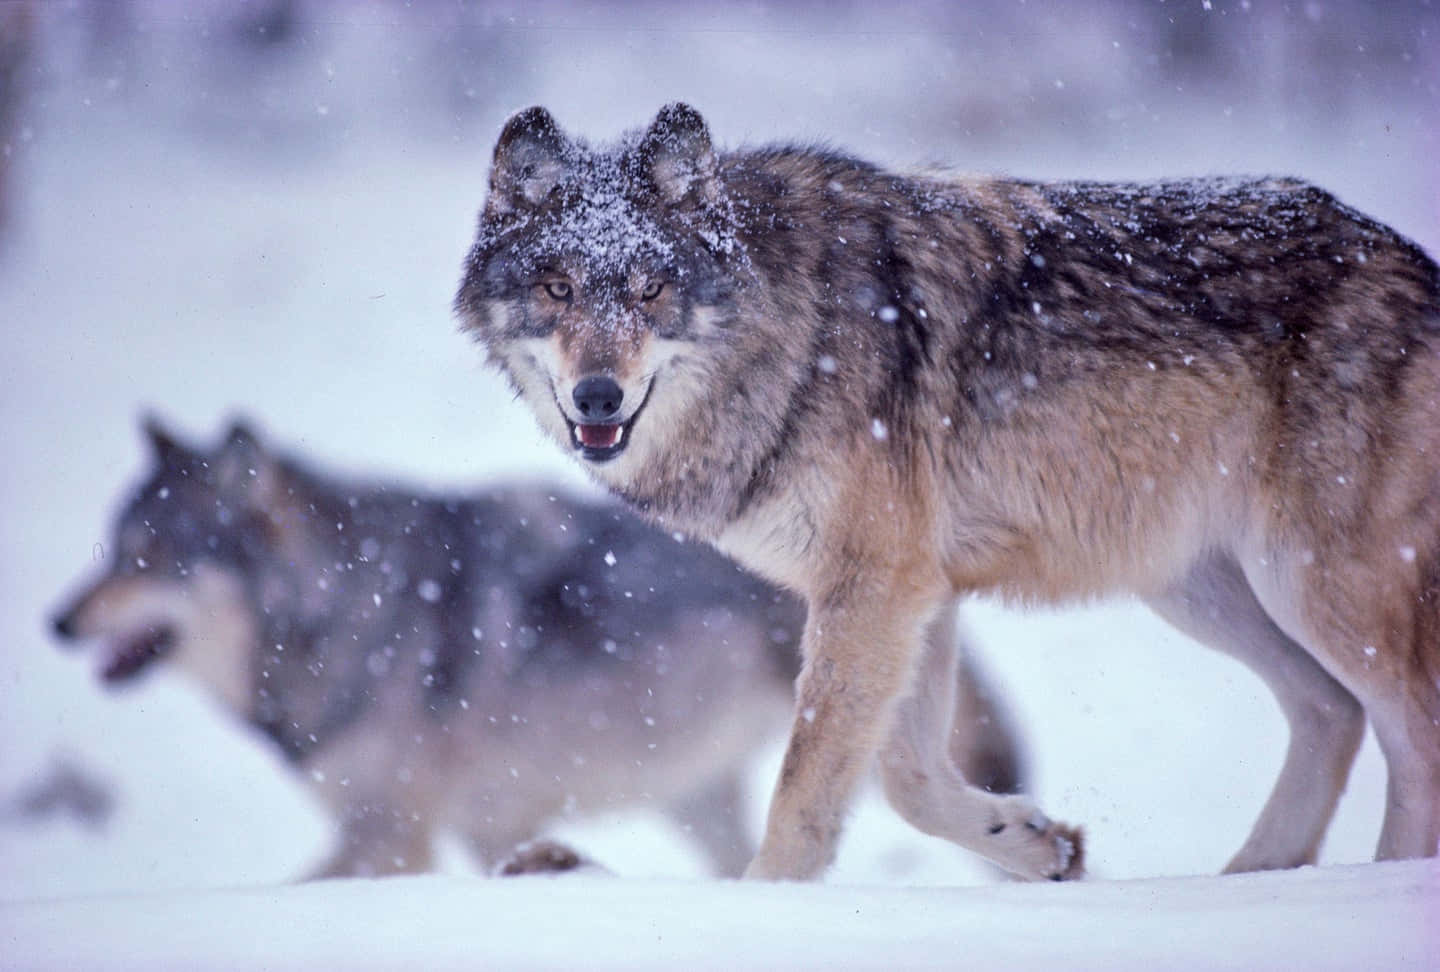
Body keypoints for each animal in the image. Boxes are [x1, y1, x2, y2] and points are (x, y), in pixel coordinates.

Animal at [51, 416, 1025, 878]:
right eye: (113, 546)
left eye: (154, 557)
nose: (56, 622)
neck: (349, 607)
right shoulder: (488, 824)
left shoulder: (391, 837)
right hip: (695, 795)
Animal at [455, 103, 1440, 882]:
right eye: (558, 287)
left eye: (651, 288)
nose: (597, 397)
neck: (791, 332)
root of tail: (1410, 256)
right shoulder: (905, 591)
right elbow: (906, 781)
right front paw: (1038, 845)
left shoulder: (877, 586)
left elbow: (808, 787)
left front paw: (765, 907)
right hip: (1198, 588)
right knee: (1330, 712)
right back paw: (1254, 880)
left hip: (1313, 585)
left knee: (1410, 729)